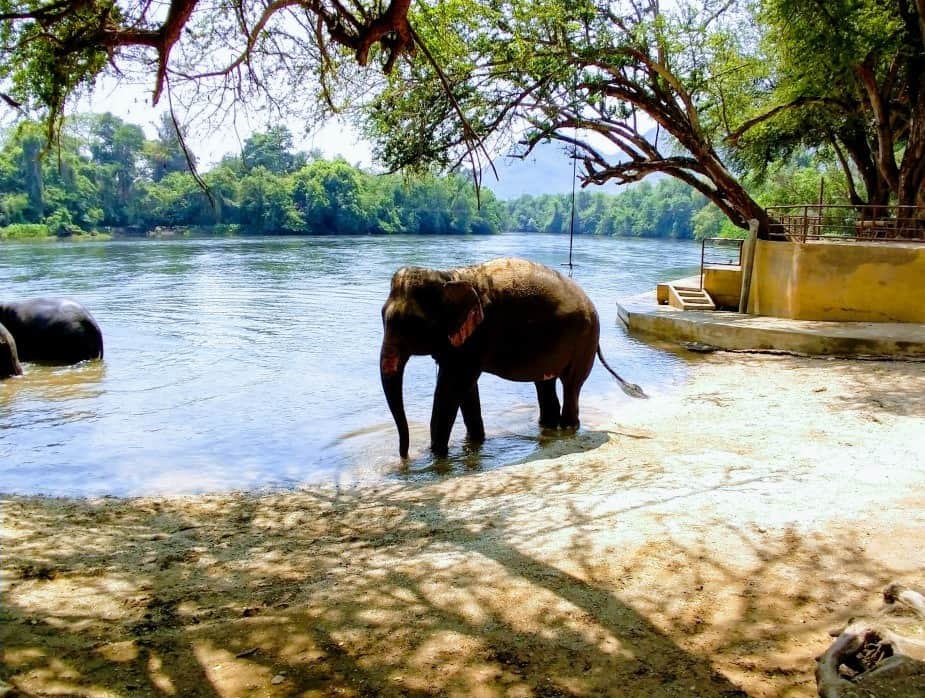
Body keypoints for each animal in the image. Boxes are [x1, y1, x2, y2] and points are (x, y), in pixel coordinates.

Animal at [380, 257, 646, 458]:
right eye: (382, 316)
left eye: (411, 325)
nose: (404, 457)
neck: (448, 275)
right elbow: (465, 389)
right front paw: (475, 443)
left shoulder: (475, 337)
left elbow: (452, 387)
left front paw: (436, 455)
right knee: (545, 383)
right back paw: (548, 427)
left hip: (585, 339)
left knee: (571, 384)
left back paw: (568, 428)